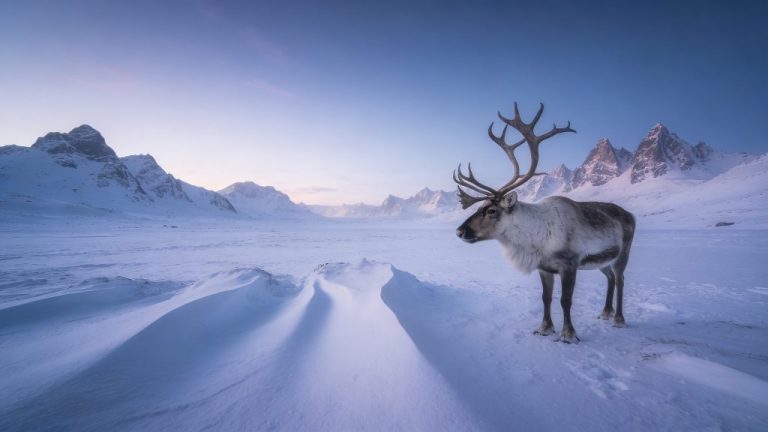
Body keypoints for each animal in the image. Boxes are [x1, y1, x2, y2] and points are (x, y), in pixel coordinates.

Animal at [454, 103, 635, 343]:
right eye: (478, 207)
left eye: (491, 210)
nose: (459, 231)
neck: (535, 237)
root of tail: (630, 214)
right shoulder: (544, 268)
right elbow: (545, 298)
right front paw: (545, 328)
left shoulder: (569, 264)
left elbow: (565, 300)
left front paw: (568, 334)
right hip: (603, 261)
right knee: (611, 279)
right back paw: (605, 312)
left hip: (622, 254)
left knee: (621, 279)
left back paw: (619, 319)